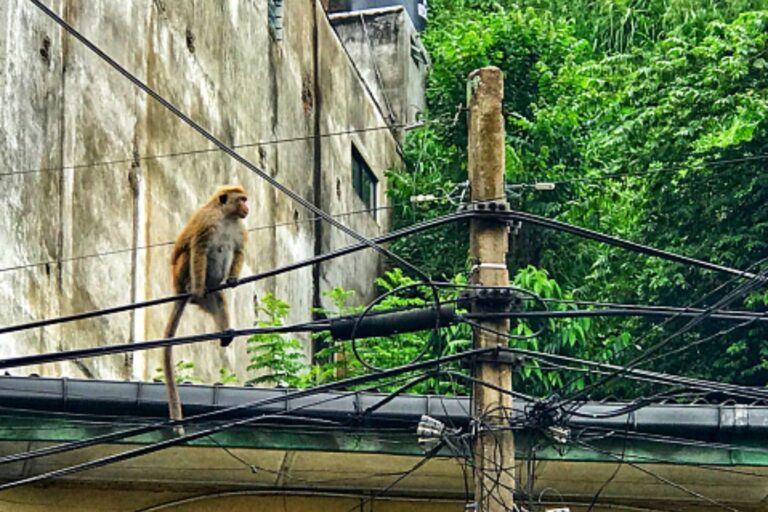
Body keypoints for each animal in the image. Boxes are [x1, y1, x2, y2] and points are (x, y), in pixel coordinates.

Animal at [162, 185, 249, 430]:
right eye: (241, 200)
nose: (246, 207)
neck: (227, 217)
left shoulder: (240, 227)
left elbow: (238, 251)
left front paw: (233, 279)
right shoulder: (207, 221)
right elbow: (199, 248)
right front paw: (199, 286)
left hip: (212, 296)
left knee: (219, 300)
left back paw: (226, 332)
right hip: (181, 274)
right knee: (189, 253)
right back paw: (194, 288)